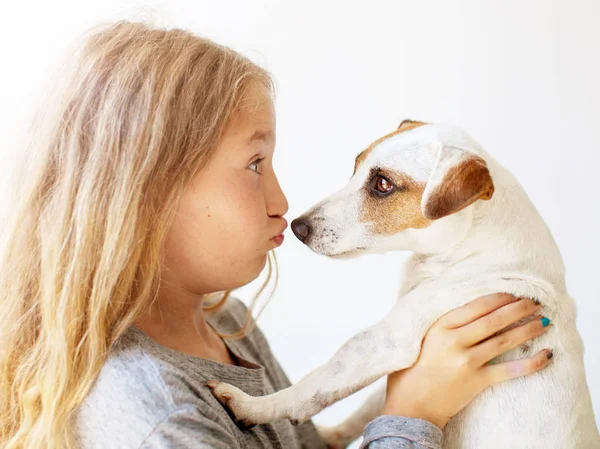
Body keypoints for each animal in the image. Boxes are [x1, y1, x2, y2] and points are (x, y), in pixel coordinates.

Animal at [210, 120, 600, 448]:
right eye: (355, 167)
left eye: (383, 184)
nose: (297, 227)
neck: (470, 249)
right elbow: (368, 407)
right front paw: (332, 436)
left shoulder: (389, 340)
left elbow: (316, 383)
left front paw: (253, 406)